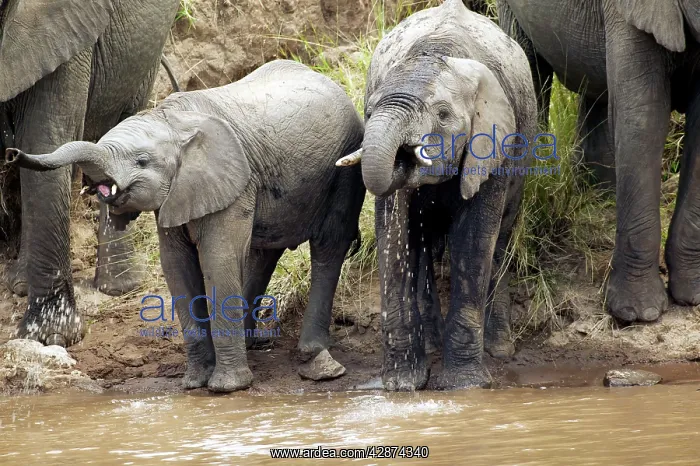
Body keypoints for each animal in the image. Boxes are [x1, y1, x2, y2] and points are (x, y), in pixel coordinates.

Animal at [6, 59, 366, 392]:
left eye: (141, 161)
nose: (12, 153)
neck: (170, 120)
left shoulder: (230, 183)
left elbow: (216, 260)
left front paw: (227, 388)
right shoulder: (179, 194)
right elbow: (176, 267)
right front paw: (194, 383)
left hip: (345, 166)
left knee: (329, 245)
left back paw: (316, 360)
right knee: (265, 253)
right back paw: (251, 343)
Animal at [337, 0, 538, 390]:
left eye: (443, 115)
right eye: (368, 111)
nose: (405, 154)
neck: (437, 51)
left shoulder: (493, 146)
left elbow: (474, 240)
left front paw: (465, 386)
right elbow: (394, 230)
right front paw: (402, 384)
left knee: (501, 240)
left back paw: (499, 350)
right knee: (423, 245)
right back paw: (431, 343)